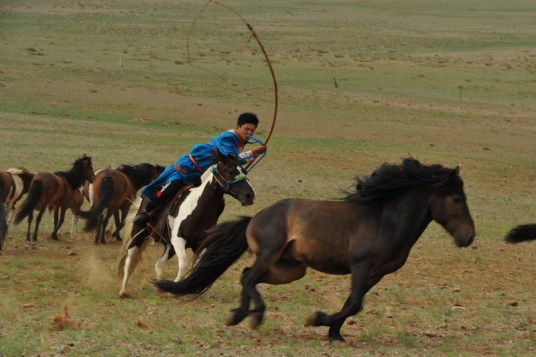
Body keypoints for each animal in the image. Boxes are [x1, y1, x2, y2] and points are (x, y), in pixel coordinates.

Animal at [118, 150, 256, 298]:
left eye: (244, 171)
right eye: (230, 171)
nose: (250, 195)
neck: (199, 208)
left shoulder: (198, 244)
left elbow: (198, 265)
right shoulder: (179, 240)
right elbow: (184, 263)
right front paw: (173, 289)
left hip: (169, 245)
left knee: (158, 264)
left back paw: (159, 286)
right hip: (139, 235)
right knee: (129, 261)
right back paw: (123, 291)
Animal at [153, 157, 476, 340]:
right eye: (456, 199)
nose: (469, 237)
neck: (386, 219)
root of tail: (255, 217)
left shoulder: (376, 274)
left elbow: (352, 304)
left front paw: (335, 334)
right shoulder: (361, 266)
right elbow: (354, 303)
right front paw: (318, 321)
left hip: (291, 269)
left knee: (247, 276)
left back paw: (241, 315)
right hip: (270, 255)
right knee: (248, 277)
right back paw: (250, 316)